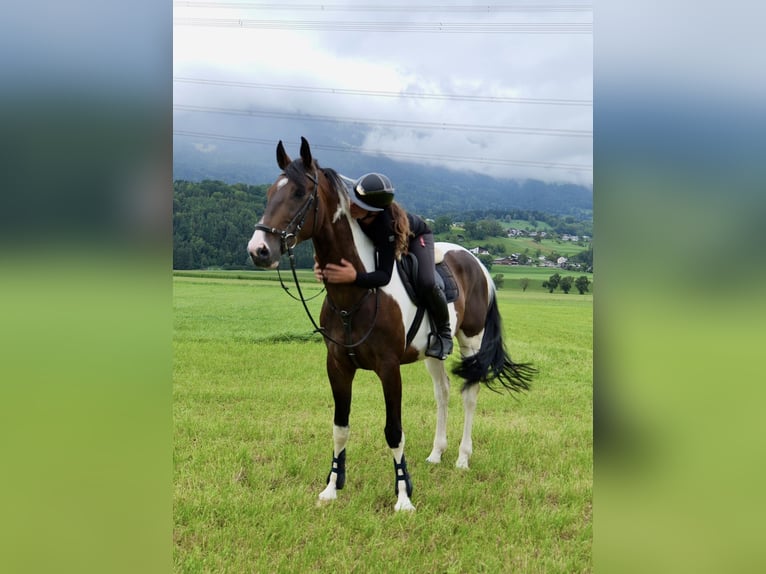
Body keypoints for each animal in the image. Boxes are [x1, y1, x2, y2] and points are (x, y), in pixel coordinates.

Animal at [248, 138, 536, 512]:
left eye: (299, 193)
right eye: (271, 192)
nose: (259, 250)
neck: (355, 295)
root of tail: (478, 263)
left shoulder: (388, 369)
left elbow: (394, 431)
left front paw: (403, 496)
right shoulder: (337, 366)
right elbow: (340, 427)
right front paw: (332, 487)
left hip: (472, 340)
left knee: (469, 393)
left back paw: (462, 458)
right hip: (433, 353)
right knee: (443, 393)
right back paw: (436, 454)